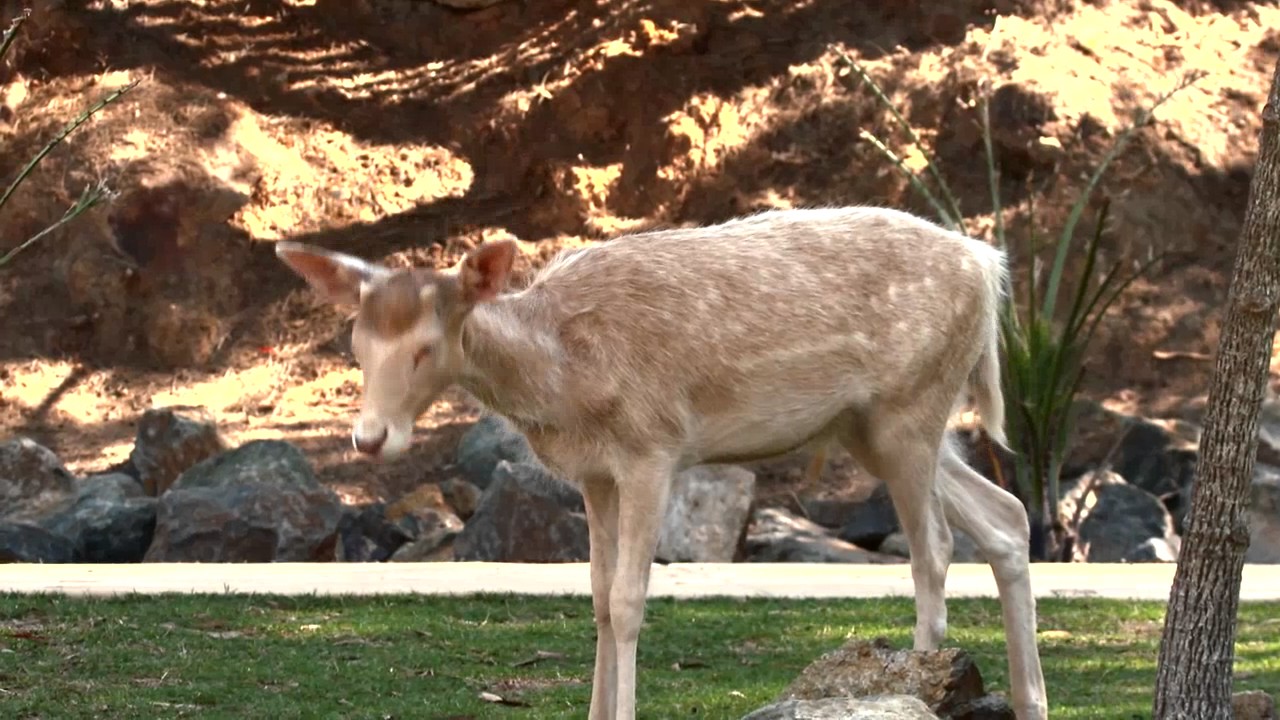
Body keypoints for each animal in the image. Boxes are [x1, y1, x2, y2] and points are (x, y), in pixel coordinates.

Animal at [275, 205, 1049, 720]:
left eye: (426, 347)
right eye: (356, 339)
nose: (370, 438)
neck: (564, 381)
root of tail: (991, 269)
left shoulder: (653, 447)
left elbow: (628, 599)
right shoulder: (593, 472)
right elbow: (595, 595)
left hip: (910, 406)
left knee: (935, 545)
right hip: (868, 425)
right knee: (1006, 516)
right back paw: (1031, 700)